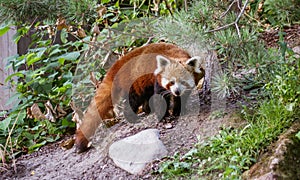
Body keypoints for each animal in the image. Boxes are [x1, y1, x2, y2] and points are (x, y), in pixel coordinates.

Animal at [76, 43, 205, 153]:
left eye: (183, 81)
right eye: (171, 82)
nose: (176, 91)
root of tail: (118, 64)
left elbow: (182, 98)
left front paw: (178, 110)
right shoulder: (158, 80)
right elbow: (160, 99)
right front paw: (164, 117)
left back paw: (147, 109)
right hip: (134, 82)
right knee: (134, 100)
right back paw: (133, 117)